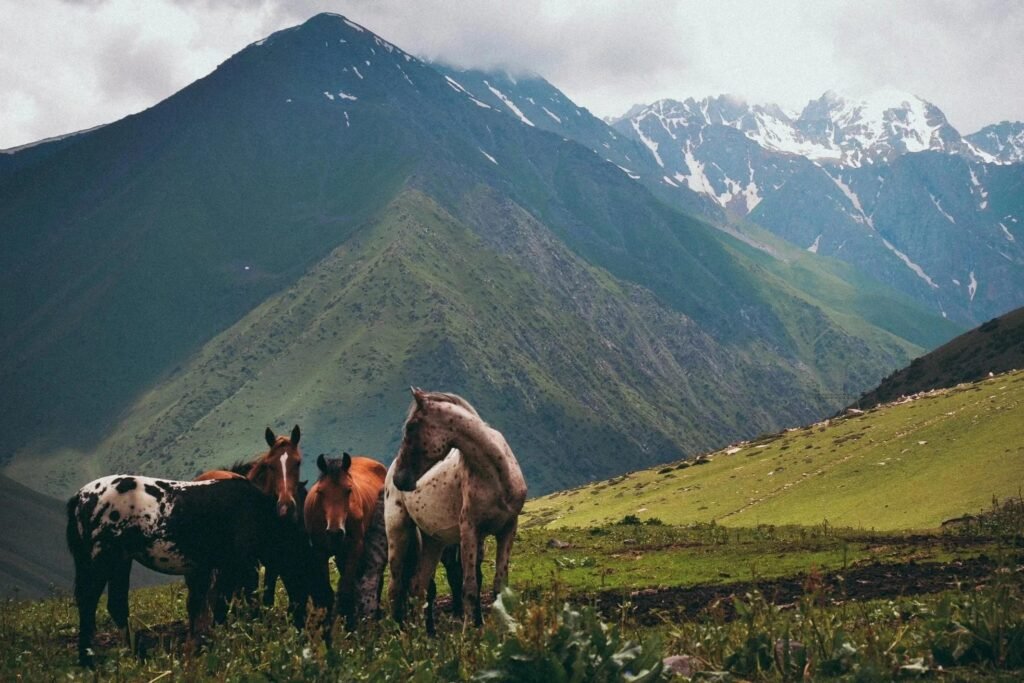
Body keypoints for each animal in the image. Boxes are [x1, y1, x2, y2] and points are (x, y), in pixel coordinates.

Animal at [66, 475, 330, 667]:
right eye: (312, 570)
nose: (309, 628)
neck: (257, 512)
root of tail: (80, 496)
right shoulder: (239, 565)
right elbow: (238, 604)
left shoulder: (220, 567)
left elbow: (216, 605)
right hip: (102, 559)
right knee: (89, 603)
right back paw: (87, 660)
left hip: (120, 560)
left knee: (116, 605)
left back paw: (134, 654)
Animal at [304, 452, 387, 629]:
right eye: (321, 491)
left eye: (348, 490)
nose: (335, 532)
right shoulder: (320, 552)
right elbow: (327, 592)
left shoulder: (354, 549)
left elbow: (346, 590)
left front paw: (349, 626)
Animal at [385, 388, 527, 630]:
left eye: (411, 427)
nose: (400, 479)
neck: (497, 475)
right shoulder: (469, 530)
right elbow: (469, 587)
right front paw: (471, 628)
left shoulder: (508, 529)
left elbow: (499, 584)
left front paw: (504, 625)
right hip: (399, 534)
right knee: (396, 588)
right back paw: (399, 632)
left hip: (433, 542)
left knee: (418, 588)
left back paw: (422, 633)